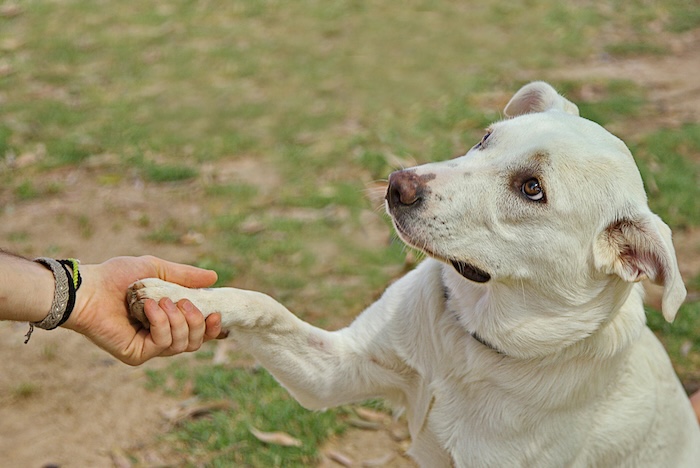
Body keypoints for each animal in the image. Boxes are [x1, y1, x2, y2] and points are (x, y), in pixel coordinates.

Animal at [129, 82, 700, 466]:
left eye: (532, 188)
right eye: (485, 139)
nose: (396, 183)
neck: (471, 344)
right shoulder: (335, 371)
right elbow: (262, 304)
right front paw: (175, 296)